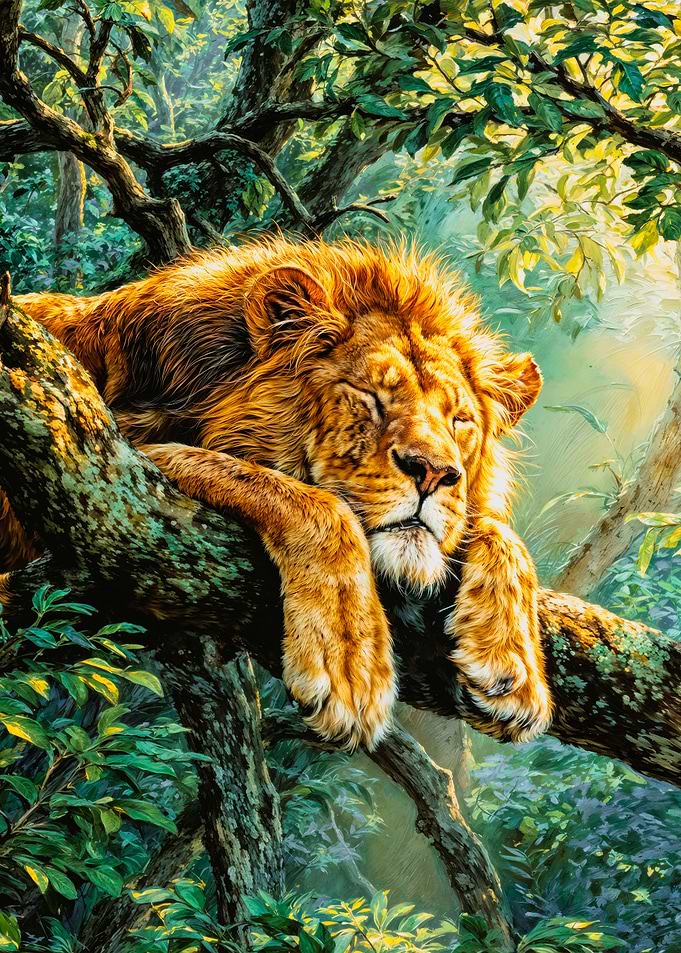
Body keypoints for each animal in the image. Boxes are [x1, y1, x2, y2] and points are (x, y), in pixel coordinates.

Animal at [1, 238, 552, 748]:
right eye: (369, 395)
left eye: (459, 420)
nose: (434, 472)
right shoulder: (108, 451)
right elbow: (314, 503)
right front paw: (350, 667)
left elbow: (500, 532)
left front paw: (515, 664)